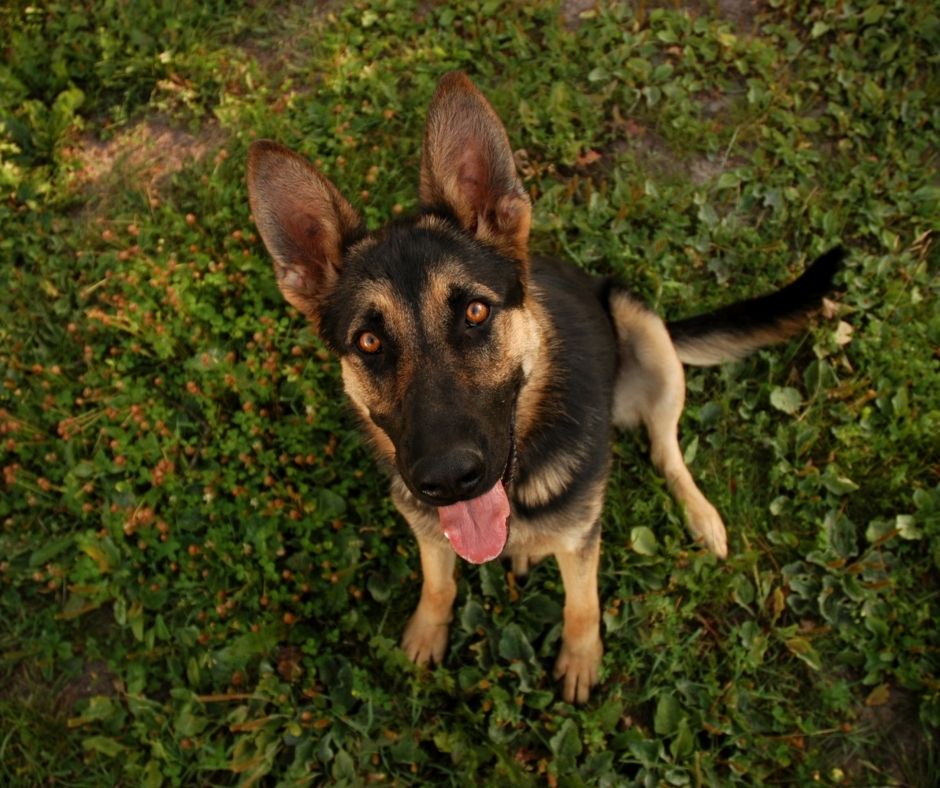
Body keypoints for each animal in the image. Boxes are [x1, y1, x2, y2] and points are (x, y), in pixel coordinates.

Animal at [246, 72, 840, 700]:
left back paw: (700, 516)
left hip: (643, 328)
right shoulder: (432, 533)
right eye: (368, 343)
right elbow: (439, 584)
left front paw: (581, 660)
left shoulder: (581, 538)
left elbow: (583, 604)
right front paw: (427, 634)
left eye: (476, 312)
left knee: (666, 448)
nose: (447, 479)